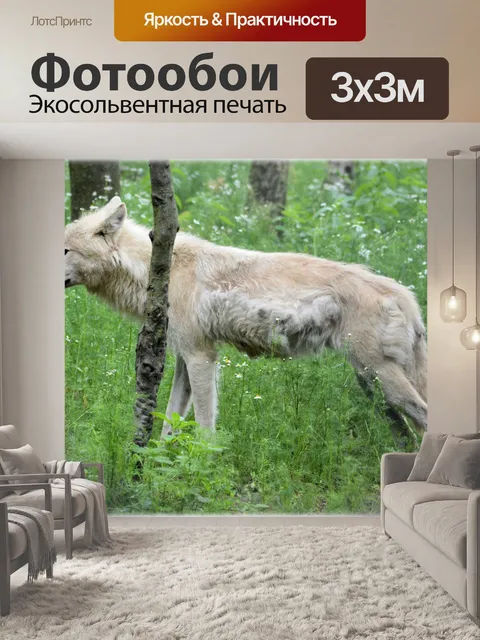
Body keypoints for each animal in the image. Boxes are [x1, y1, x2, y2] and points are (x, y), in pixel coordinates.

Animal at [65, 196, 427, 435]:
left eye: (65, 250)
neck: (159, 271)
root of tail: (407, 297)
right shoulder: (185, 358)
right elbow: (170, 424)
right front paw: (162, 470)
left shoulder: (201, 357)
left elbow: (204, 427)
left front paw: (202, 470)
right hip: (371, 384)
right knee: (408, 433)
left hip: (382, 379)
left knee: (423, 418)